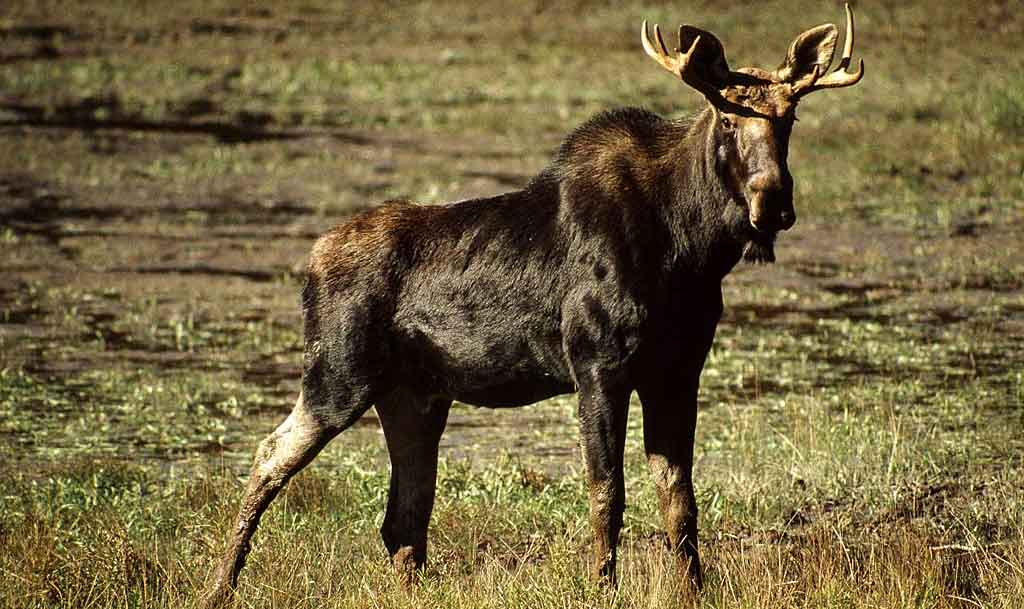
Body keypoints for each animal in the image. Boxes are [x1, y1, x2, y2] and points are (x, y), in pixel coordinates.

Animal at [205, 4, 864, 605]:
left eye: (791, 118)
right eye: (727, 117)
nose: (772, 202)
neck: (692, 250)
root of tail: (311, 262)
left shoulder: (678, 371)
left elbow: (680, 496)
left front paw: (694, 591)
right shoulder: (597, 363)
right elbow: (607, 491)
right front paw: (603, 587)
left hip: (414, 396)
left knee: (403, 515)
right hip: (338, 375)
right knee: (270, 455)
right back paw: (220, 586)